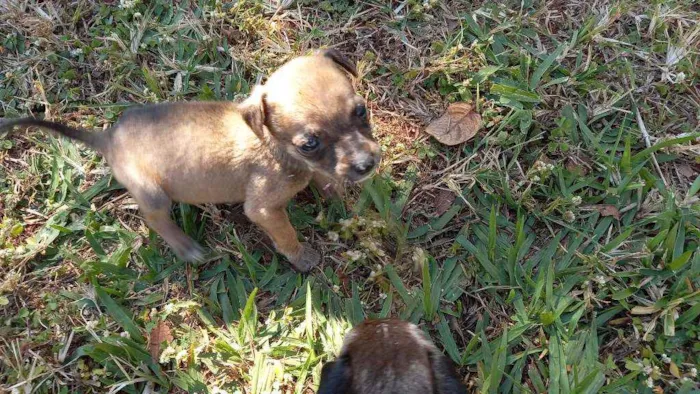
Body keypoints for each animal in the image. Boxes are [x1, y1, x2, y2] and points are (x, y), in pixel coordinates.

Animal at [1, 48, 382, 270]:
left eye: (361, 111)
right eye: (309, 143)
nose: (367, 165)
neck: (274, 147)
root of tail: (108, 137)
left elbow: (326, 180)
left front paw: (342, 201)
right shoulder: (263, 210)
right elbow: (286, 234)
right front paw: (301, 256)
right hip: (153, 193)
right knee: (154, 218)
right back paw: (184, 247)